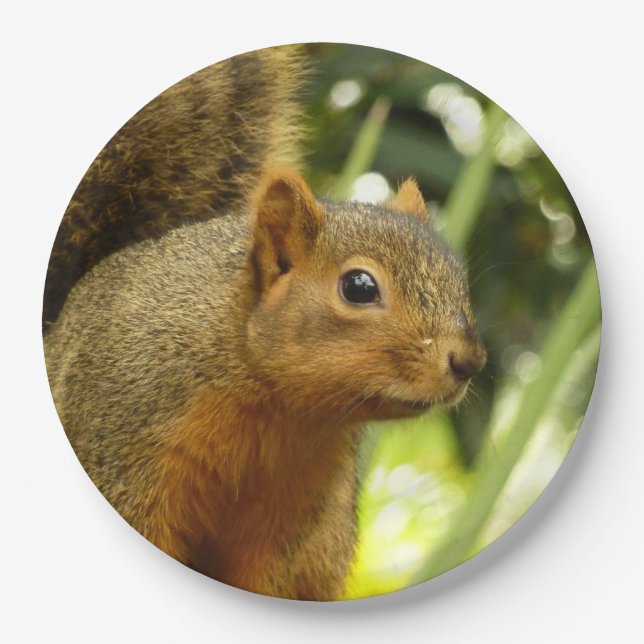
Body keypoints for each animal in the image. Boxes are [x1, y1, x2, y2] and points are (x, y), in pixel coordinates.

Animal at [43, 45, 487, 601]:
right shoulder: (124, 447)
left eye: (459, 278)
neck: (276, 409)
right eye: (359, 287)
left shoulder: (290, 517)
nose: (469, 361)